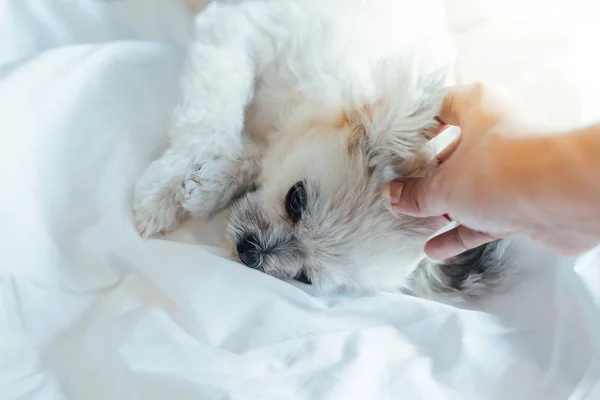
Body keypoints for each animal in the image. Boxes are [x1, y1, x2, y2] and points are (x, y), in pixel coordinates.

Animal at [131, 0, 506, 300]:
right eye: (296, 200)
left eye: (305, 277)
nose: (251, 251)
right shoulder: (238, 31)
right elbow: (211, 123)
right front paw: (164, 192)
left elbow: (249, 157)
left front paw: (208, 184)